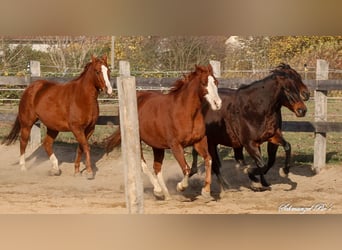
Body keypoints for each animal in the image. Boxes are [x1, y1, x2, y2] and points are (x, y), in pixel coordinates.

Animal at [106, 65, 222, 200]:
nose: (218, 103)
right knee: (143, 164)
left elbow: (208, 160)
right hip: (137, 140)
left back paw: (166, 194)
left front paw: (206, 191)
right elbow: (187, 169)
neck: (186, 113)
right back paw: (158, 190)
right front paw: (180, 187)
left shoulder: (199, 141)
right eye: (204, 83)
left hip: (157, 145)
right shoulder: (175, 145)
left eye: (216, 82)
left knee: (157, 167)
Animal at [191, 63, 308, 191]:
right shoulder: (249, 143)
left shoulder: (272, 137)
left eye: (297, 81)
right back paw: (225, 185)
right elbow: (262, 164)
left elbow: (282, 151)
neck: (256, 108)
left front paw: (283, 172)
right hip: (209, 141)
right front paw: (252, 176)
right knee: (213, 163)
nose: (302, 110)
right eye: (287, 89)